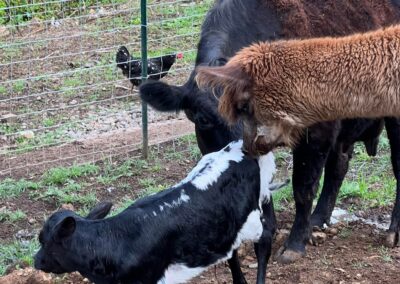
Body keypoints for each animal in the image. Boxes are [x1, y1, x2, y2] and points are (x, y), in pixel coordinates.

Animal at [36, 141, 282, 284]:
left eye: (44, 240)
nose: (36, 261)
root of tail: (239, 147)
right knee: (232, 251)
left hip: (252, 220)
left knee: (265, 238)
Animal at [139, 0, 400, 266]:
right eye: (203, 119)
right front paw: (267, 228)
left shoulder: (317, 134)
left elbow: (303, 189)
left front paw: (294, 244)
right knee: (339, 165)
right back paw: (318, 219)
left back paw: (392, 232)